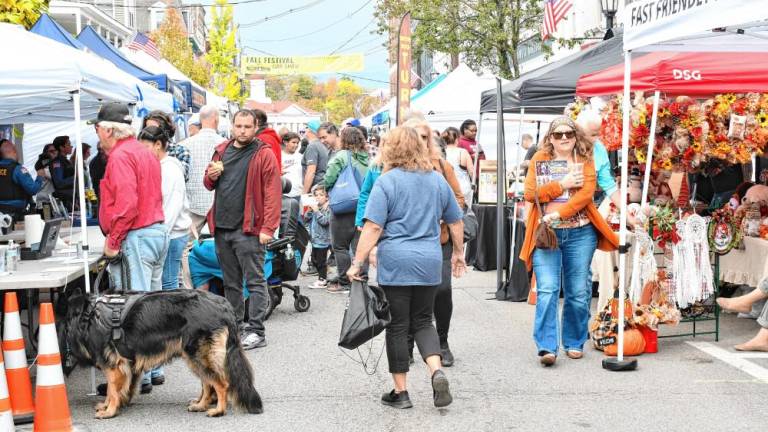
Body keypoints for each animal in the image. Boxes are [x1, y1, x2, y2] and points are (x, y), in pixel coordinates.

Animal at [60, 286, 264, 418]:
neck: (89, 314)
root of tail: (224, 305)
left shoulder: (113, 366)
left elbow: (112, 390)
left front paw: (109, 411)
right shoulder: (126, 365)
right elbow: (118, 389)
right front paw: (111, 405)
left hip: (199, 356)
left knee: (221, 383)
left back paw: (218, 410)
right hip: (194, 358)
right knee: (208, 383)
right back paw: (200, 405)